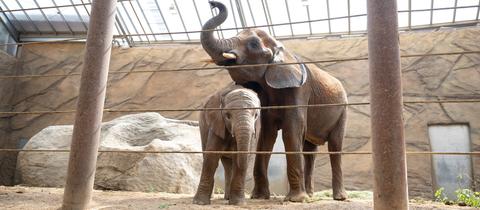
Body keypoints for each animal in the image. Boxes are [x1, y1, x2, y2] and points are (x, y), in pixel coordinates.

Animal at [201, 1, 346, 202]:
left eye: (253, 44)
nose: (213, 4)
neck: (282, 50)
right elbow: (267, 134)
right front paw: (259, 197)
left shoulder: (300, 90)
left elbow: (291, 130)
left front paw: (295, 200)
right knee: (310, 150)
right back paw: (310, 195)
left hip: (342, 110)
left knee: (335, 146)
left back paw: (339, 197)